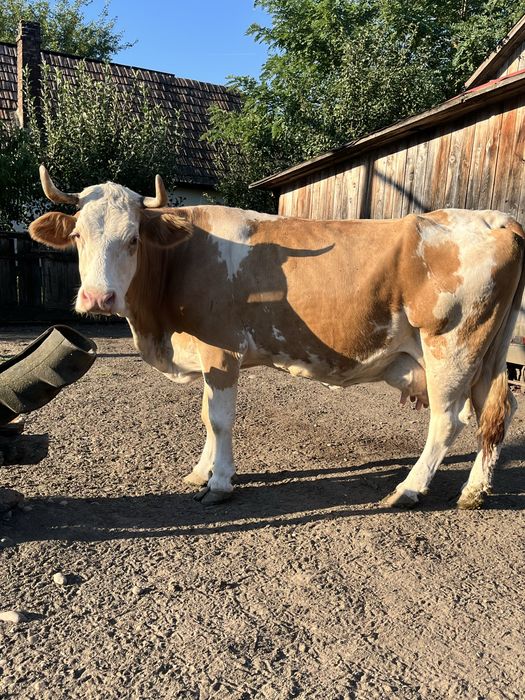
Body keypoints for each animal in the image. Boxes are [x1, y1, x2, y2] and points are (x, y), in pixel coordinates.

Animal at [29, 166, 525, 509]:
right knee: (496, 411)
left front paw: (220, 483)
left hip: (451, 346)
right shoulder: (207, 356)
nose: (99, 297)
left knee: (449, 420)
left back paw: (407, 490)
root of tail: (496, 218)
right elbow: (206, 416)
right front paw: (202, 472)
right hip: (487, 352)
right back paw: (474, 492)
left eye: (133, 238)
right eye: (77, 234)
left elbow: (220, 420)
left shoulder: (222, 350)